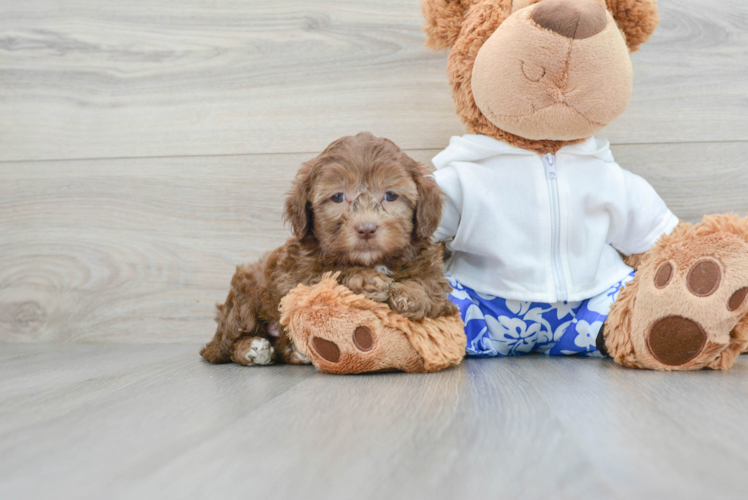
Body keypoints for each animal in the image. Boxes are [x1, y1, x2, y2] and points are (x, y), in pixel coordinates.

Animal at [199, 133, 456, 368]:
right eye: (338, 197)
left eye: (391, 195)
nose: (366, 229)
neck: (372, 260)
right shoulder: (297, 276)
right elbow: (329, 274)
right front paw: (366, 280)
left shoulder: (432, 270)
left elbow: (431, 286)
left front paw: (409, 295)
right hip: (247, 291)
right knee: (227, 342)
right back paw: (252, 348)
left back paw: (295, 351)